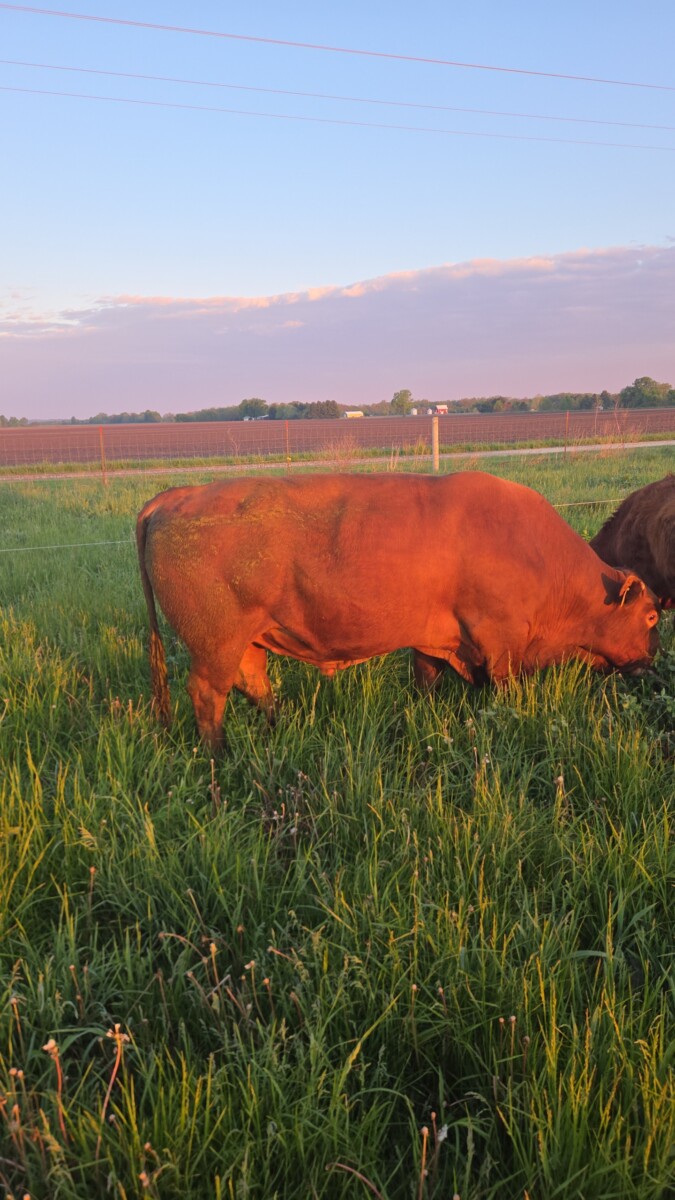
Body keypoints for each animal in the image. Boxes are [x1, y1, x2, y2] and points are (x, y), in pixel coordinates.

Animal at [136, 471, 661, 750]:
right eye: (652, 616)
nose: (652, 659)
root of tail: (176, 496)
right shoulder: (502, 645)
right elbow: (505, 692)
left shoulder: (436, 640)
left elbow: (426, 680)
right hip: (216, 646)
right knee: (209, 696)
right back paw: (220, 757)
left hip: (247, 641)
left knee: (255, 686)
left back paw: (277, 729)